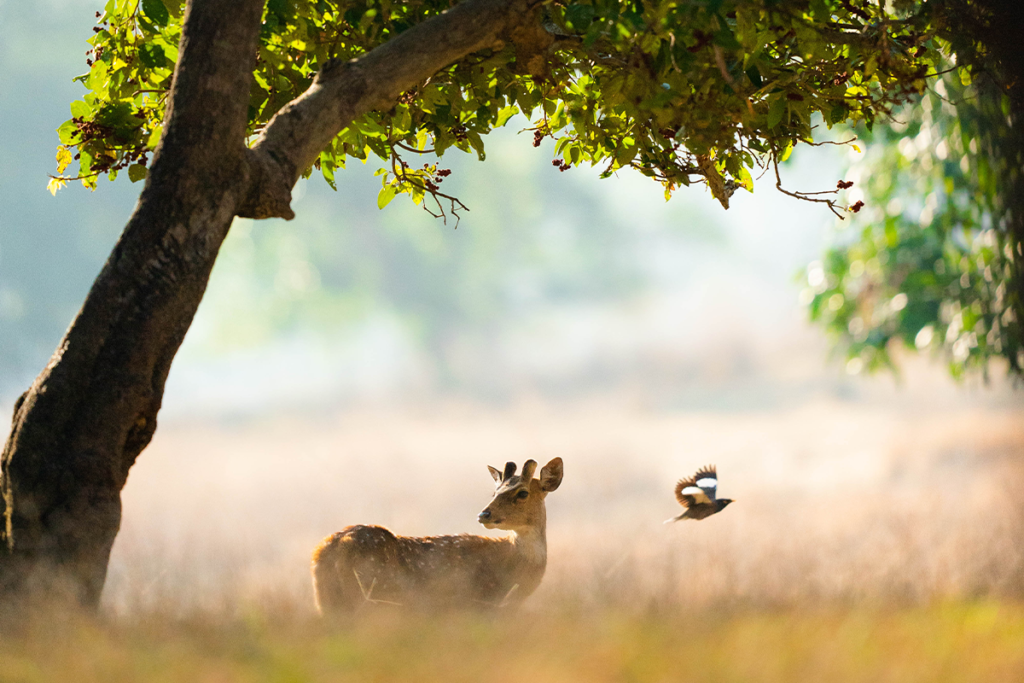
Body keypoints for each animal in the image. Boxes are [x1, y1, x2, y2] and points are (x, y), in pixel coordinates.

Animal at [311, 457, 563, 614]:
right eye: (494, 492)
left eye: (523, 493)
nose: (484, 514)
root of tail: (330, 548)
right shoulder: (477, 606)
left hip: (328, 603)